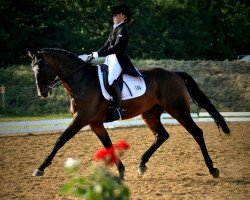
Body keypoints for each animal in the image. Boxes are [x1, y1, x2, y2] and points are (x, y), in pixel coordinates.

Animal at [27, 48, 230, 178]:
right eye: (32, 69)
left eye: (41, 68)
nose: (42, 93)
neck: (82, 80)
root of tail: (174, 74)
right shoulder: (95, 123)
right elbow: (108, 145)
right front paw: (121, 170)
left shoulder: (81, 119)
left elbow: (60, 140)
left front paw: (40, 168)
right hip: (150, 114)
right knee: (161, 135)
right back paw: (141, 164)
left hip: (178, 110)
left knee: (196, 132)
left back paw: (212, 169)